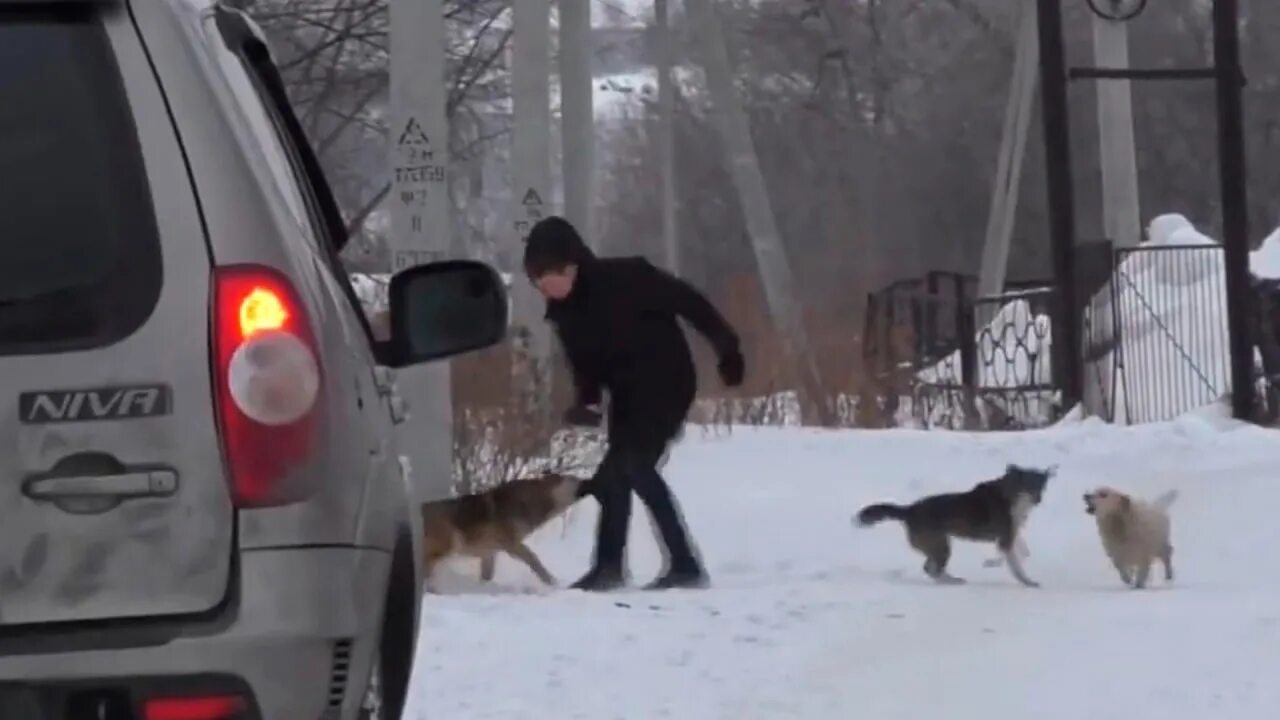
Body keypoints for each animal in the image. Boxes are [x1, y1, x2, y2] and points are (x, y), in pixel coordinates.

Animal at [422, 471, 596, 589]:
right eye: (575, 480)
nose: (589, 480)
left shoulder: (490, 553)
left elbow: (487, 576)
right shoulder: (513, 546)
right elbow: (534, 559)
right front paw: (551, 581)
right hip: (450, 544)